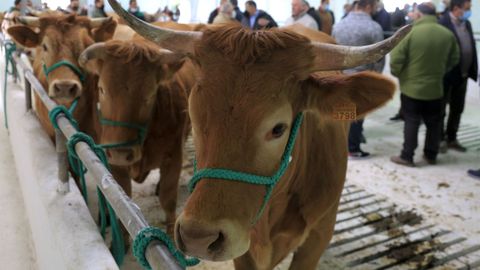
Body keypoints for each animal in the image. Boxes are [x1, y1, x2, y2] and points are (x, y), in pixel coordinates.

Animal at [79, 39, 196, 235]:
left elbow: (168, 200)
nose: (120, 153)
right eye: (102, 89)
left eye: (149, 94)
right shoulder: (115, 165)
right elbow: (122, 204)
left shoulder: (174, 158)